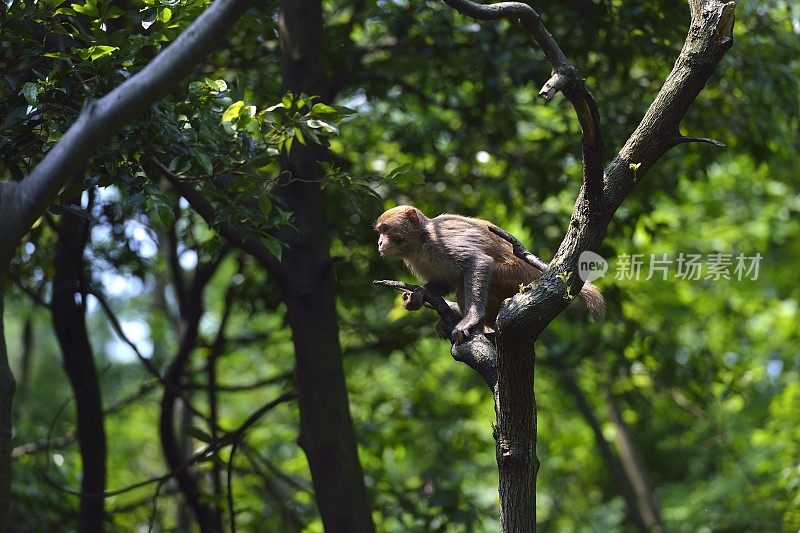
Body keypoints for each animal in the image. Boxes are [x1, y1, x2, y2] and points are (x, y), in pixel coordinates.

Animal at [376, 204, 608, 340]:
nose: (379, 242)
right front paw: (416, 297)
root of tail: (537, 275)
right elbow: (444, 282)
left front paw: (471, 319)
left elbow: (477, 262)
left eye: (386, 230)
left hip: (516, 278)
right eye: (380, 231)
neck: (418, 243)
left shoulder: (441, 242)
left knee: (470, 282)